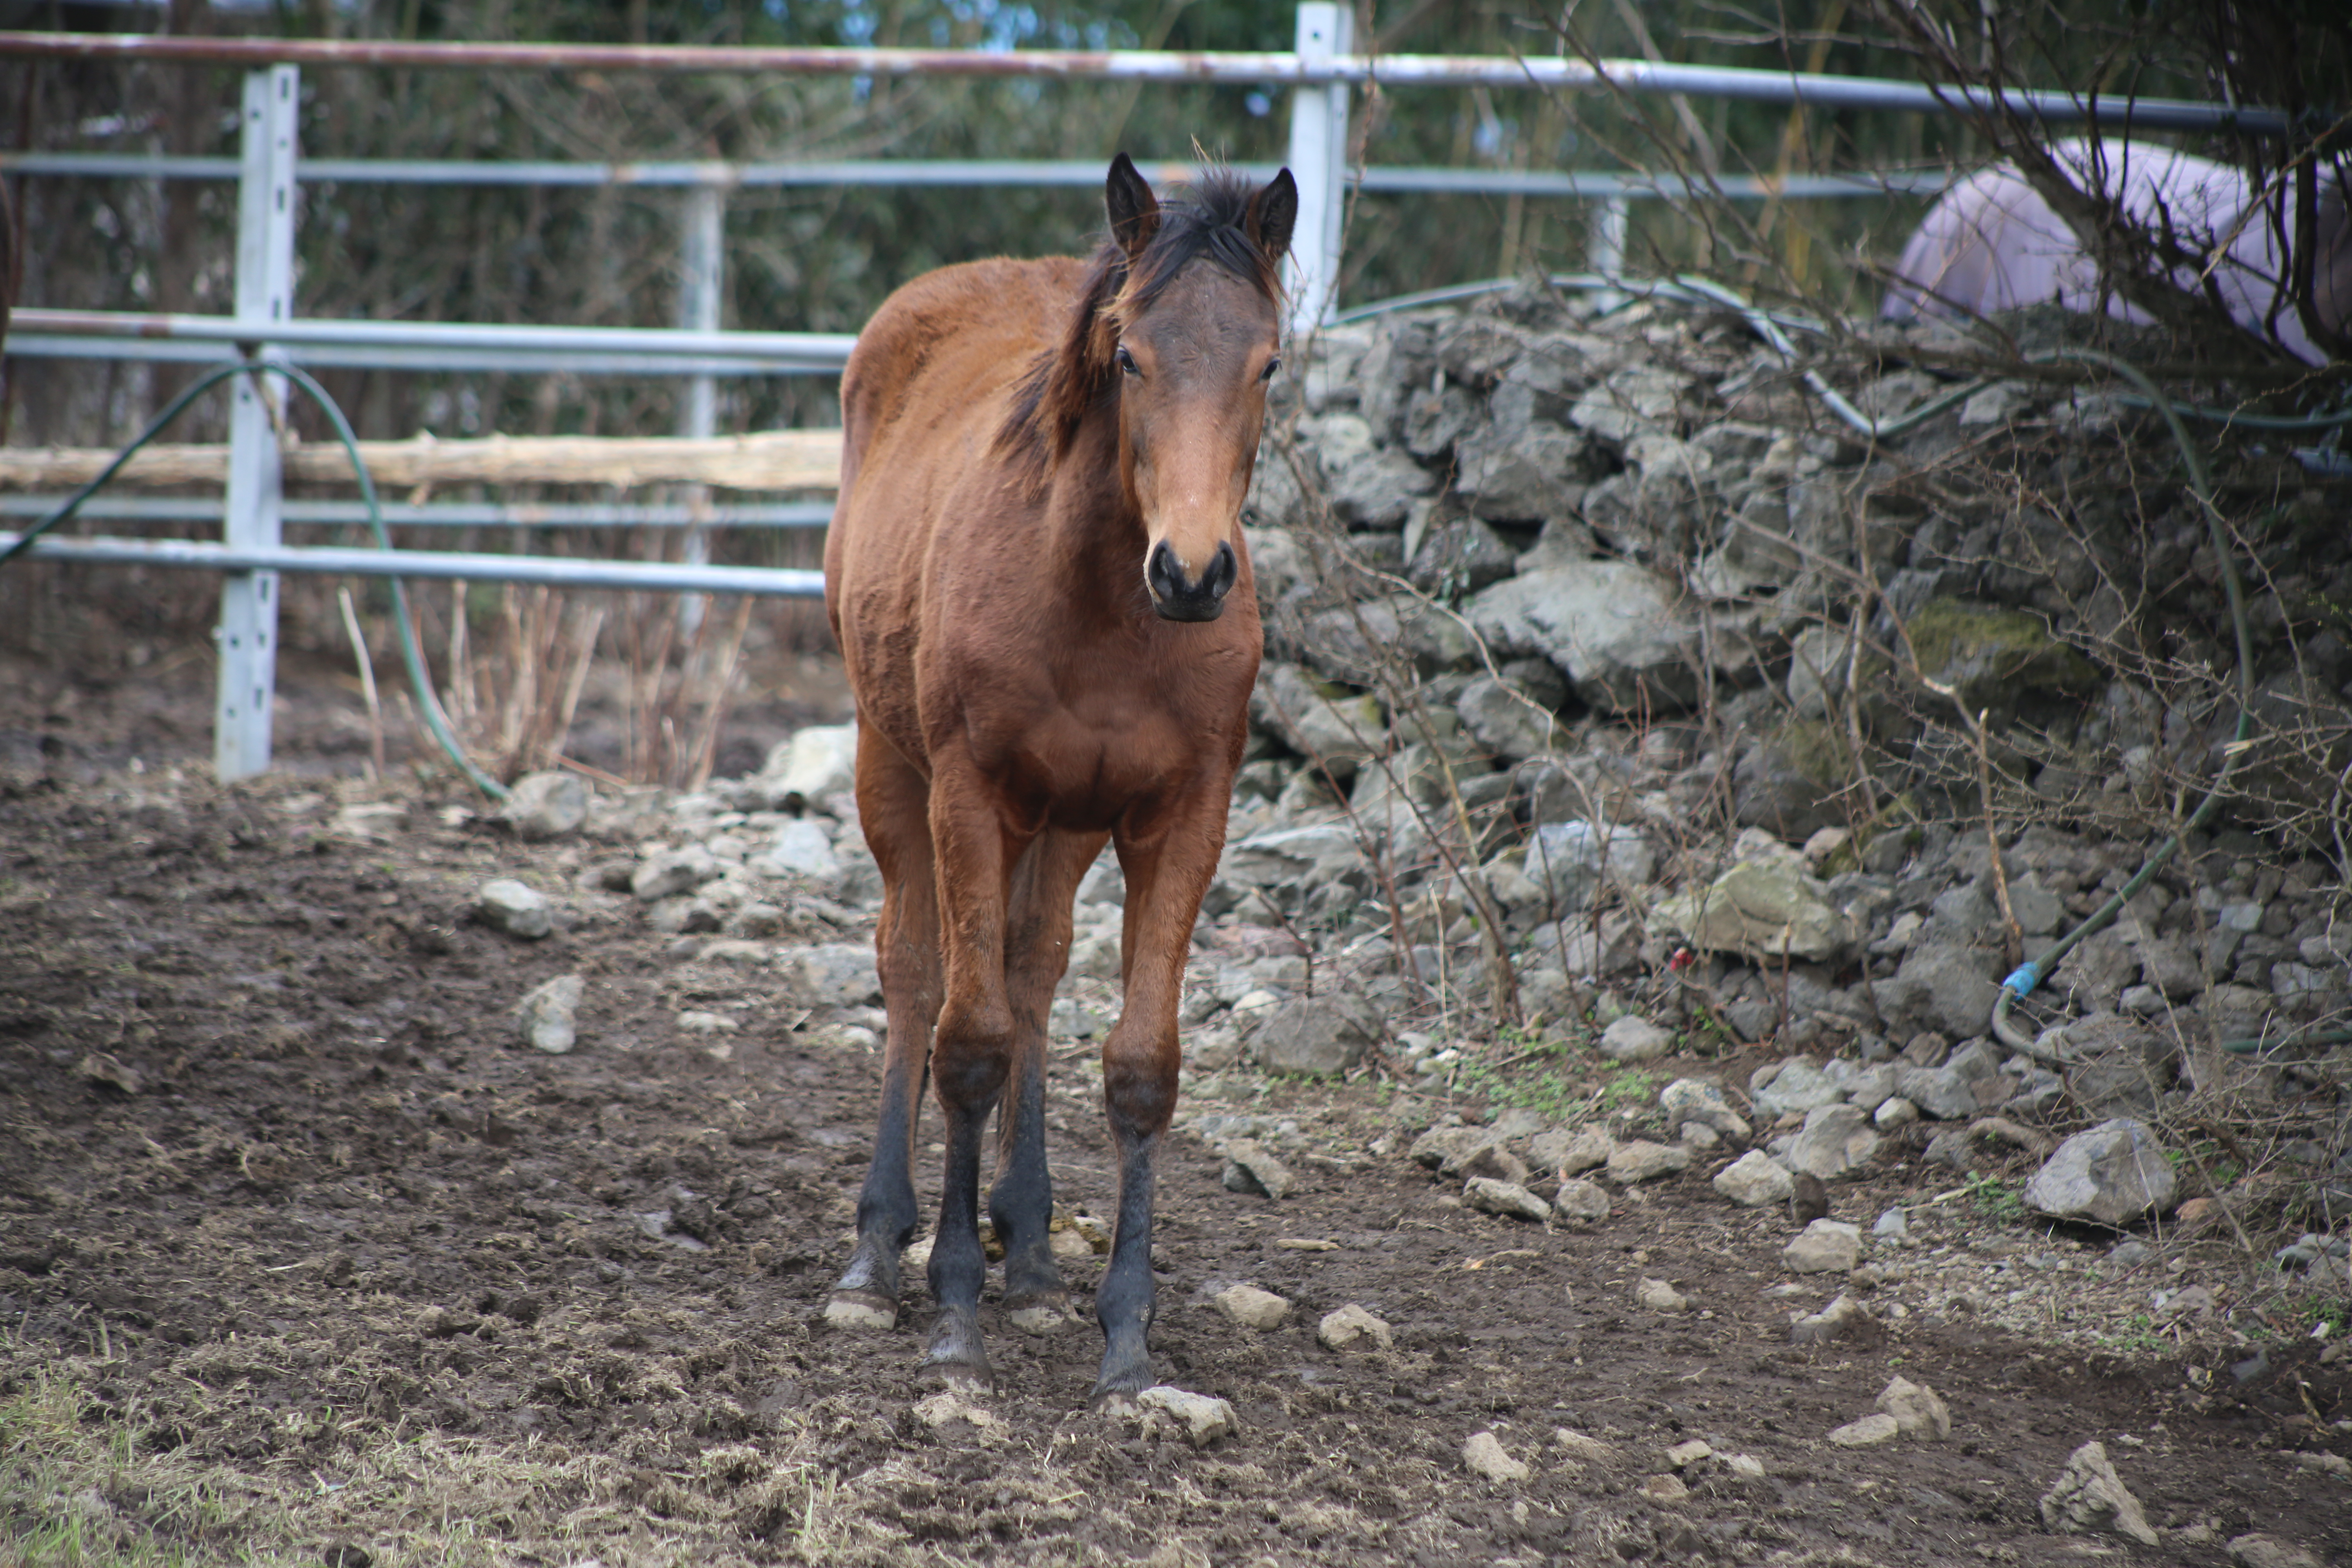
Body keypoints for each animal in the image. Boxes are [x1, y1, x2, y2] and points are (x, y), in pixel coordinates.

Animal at [809, 153, 1289, 1401]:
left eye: (1268, 363)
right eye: (1129, 356)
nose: (1192, 572)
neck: (1103, 608)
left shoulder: (1183, 818)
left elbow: (1138, 1066)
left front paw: (1125, 1333)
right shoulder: (969, 795)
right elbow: (966, 1045)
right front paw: (952, 1311)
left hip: (1064, 824)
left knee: (1030, 970)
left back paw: (1025, 1249)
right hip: (893, 768)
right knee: (915, 972)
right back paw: (878, 1252)